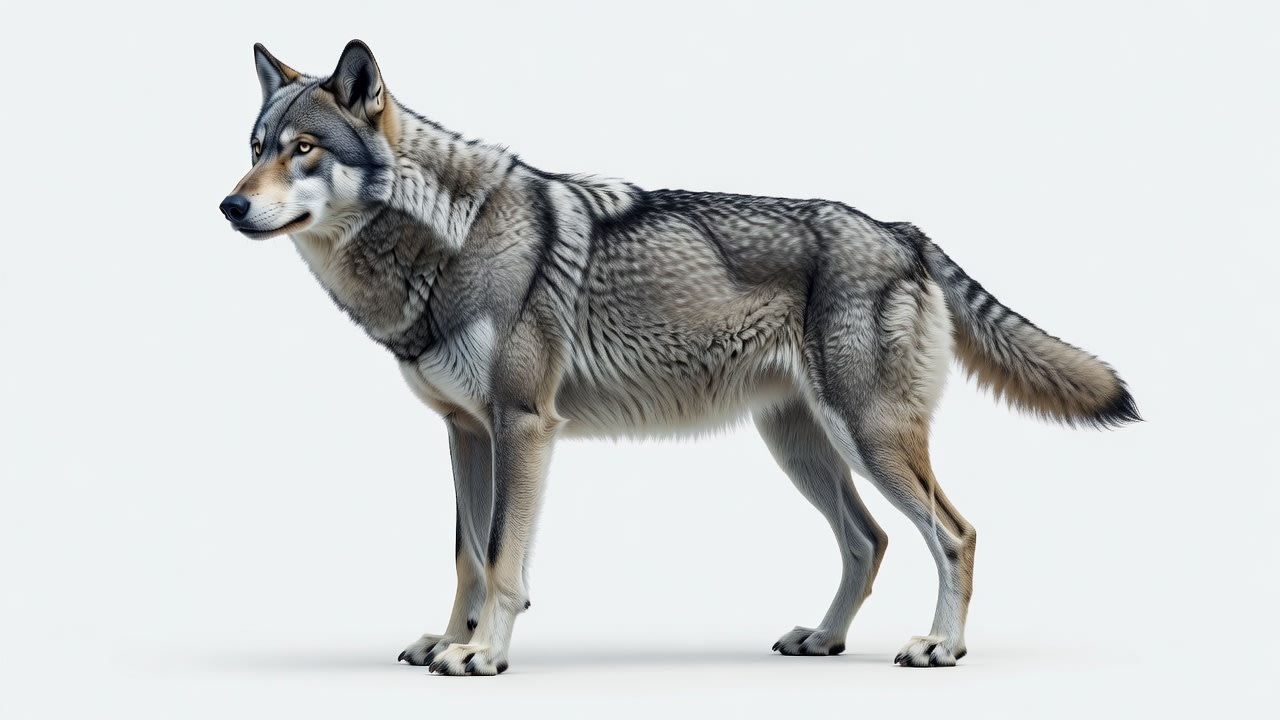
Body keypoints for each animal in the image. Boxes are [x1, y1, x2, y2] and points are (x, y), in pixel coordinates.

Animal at [220, 40, 1139, 675]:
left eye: (304, 149)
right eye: (256, 146)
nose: (229, 205)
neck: (449, 240)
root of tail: (902, 230)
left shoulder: (523, 426)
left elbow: (503, 558)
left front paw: (484, 654)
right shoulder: (465, 432)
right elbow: (466, 559)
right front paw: (449, 643)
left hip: (868, 437)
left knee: (955, 533)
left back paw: (940, 648)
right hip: (803, 448)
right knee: (869, 540)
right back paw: (824, 638)